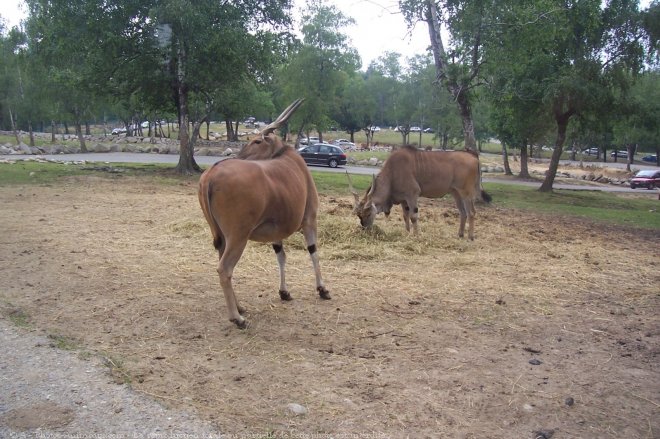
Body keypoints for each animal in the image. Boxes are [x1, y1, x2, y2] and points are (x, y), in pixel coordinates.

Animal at [196, 98, 330, 328]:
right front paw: (322, 289)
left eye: (257, 141)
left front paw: (284, 292)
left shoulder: (276, 232)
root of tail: (210, 175)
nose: (237, 155)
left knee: (223, 264)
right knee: (224, 269)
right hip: (238, 236)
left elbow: (281, 256)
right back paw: (237, 317)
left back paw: (240, 307)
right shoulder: (310, 219)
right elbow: (313, 251)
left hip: (222, 237)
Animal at [350, 145, 490, 241]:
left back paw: (470, 237)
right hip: (456, 193)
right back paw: (460, 234)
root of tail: (474, 157)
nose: (365, 228)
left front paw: (416, 235)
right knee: (463, 212)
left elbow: (413, 216)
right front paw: (407, 233)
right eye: (359, 215)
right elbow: (405, 216)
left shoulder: (412, 194)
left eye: (368, 214)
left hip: (466, 193)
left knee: (471, 212)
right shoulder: (404, 199)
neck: (393, 172)